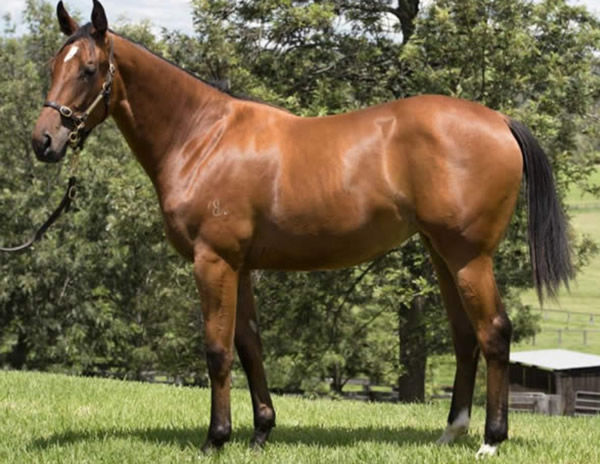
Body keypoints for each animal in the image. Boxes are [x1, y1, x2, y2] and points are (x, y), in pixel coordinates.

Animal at [31, 0, 572, 456]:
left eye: (88, 69)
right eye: (55, 66)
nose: (43, 140)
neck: (203, 137)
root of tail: (499, 120)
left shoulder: (213, 261)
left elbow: (217, 351)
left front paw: (216, 438)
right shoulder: (240, 267)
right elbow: (249, 346)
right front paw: (260, 432)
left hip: (469, 257)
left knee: (494, 332)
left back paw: (491, 440)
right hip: (442, 256)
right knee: (465, 336)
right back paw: (451, 432)